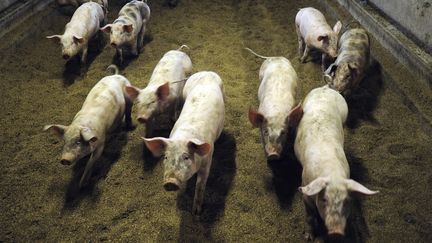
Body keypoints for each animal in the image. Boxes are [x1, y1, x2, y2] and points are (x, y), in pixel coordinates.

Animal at [143, 70, 226, 215]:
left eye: (186, 157)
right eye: (165, 157)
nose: (170, 182)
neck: (184, 136)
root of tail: (207, 71)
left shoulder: (207, 161)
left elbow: (200, 185)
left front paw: (196, 212)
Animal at [294, 86, 378, 241]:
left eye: (346, 201)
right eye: (324, 200)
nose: (337, 231)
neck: (332, 173)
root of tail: (326, 88)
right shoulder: (306, 191)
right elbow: (309, 216)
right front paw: (308, 237)